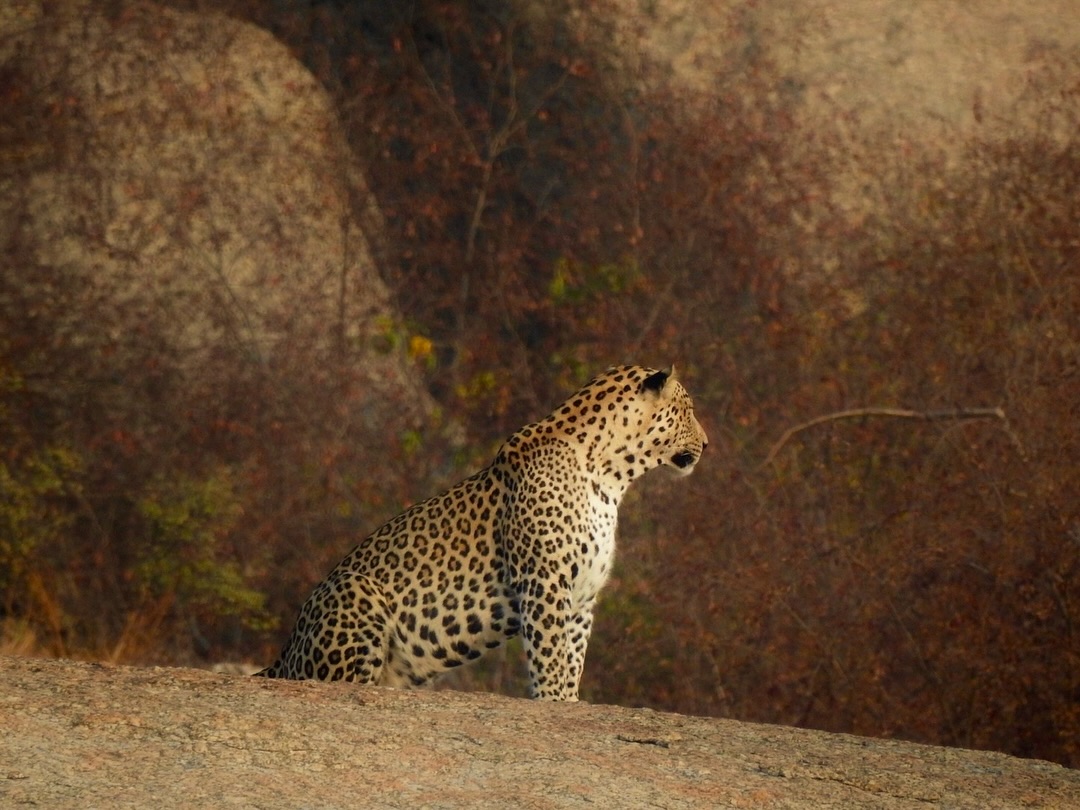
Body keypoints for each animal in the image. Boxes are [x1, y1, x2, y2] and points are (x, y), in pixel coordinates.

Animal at [255, 364, 707, 700]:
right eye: (686, 409)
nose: (706, 443)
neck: (612, 476)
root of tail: (283, 655)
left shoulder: (583, 595)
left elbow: (572, 659)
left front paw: (571, 701)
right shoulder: (544, 581)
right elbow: (551, 656)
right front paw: (555, 702)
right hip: (355, 590)